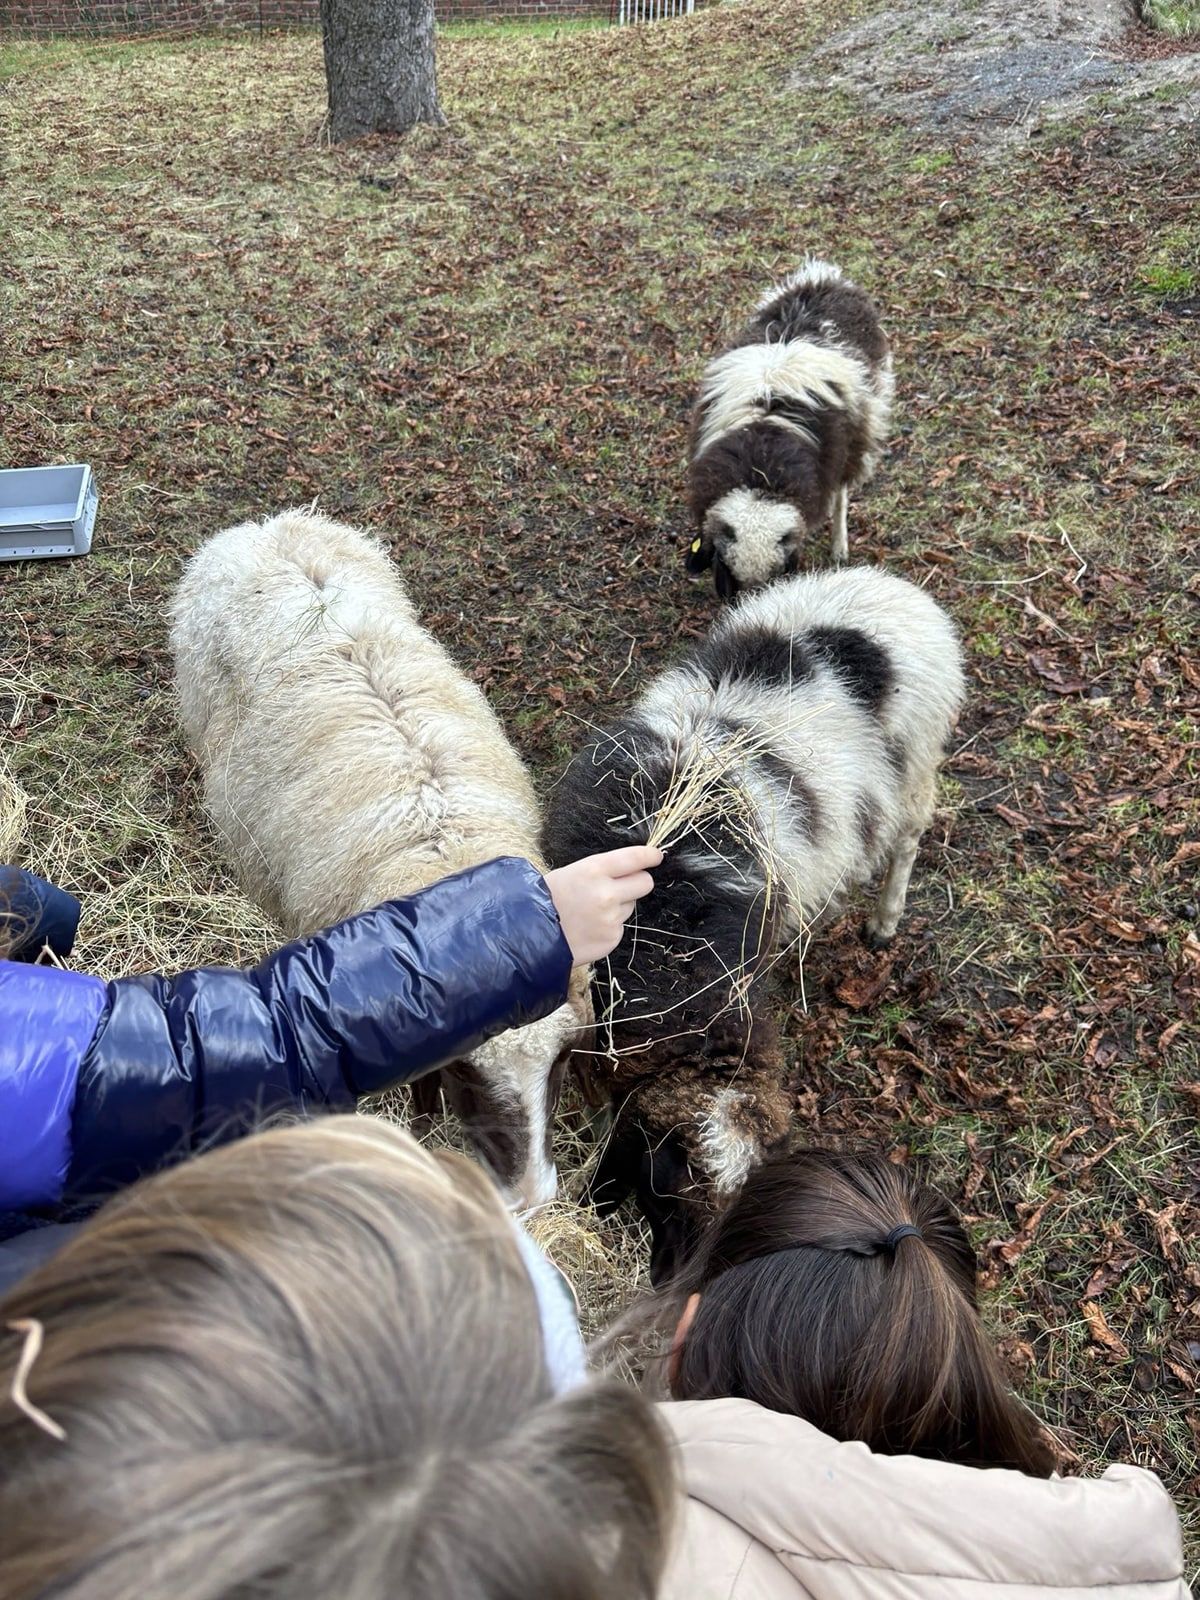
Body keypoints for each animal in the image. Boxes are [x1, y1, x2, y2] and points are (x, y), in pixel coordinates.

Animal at [544, 569, 966, 1280]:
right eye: (663, 1183)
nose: (682, 1284)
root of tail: (896, 588)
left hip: (917, 765)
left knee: (908, 838)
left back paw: (884, 920)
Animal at [684, 259, 896, 598]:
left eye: (778, 576)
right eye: (727, 573)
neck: (759, 472)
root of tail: (826, 279)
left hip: (863, 427)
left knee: (842, 492)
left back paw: (840, 547)